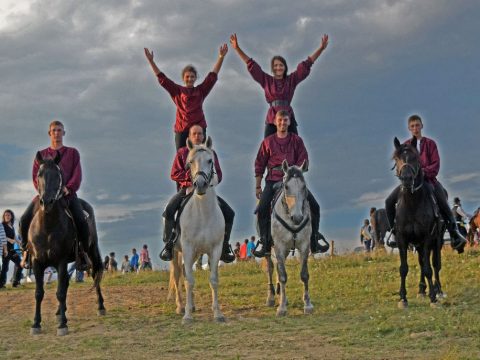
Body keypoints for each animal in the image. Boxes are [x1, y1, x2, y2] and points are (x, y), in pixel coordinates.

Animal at [27, 151, 104, 334]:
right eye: (39, 174)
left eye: (58, 174)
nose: (47, 202)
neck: (48, 227)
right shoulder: (37, 262)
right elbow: (39, 293)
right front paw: (36, 323)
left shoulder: (61, 261)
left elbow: (60, 292)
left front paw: (62, 324)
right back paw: (59, 312)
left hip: (91, 251)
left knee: (96, 274)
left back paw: (100, 307)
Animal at [170, 137, 226, 324]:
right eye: (190, 163)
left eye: (210, 161)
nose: (200, 184)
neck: (203, 214)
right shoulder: (187, 248)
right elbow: (189, 281)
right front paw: (187, 316)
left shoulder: (215, 249)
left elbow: (213, 280)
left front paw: (218, 313)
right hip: (176, 252)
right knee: (178, 274)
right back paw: (181, 306)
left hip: (194, 254)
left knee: (183, 272)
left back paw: (192, 305)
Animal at [264, 160, 314, 316]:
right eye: (286, 186)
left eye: (304, 186)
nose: (297, 218)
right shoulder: (279, 246)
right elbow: (282, 275)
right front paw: (281, 308)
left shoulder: (304, 245)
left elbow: (304, 274)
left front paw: (308, 304)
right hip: (270, 249)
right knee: (271, 268)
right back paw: (271, 297)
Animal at [390, 136, 442, 308]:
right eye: (396, 158)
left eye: (415, 158)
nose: (406, 179)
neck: (413, 203)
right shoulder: (402, 239)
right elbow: (404, 268)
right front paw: (403, 298)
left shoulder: (427, 238)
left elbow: (428, 269)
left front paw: (433, 298)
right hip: (418, 245)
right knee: (421, 262)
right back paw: (421, 290)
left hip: (437, 241)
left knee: (435, 264)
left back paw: (439, 290)